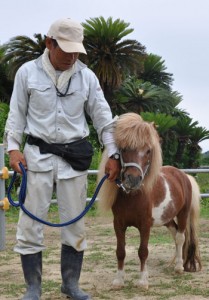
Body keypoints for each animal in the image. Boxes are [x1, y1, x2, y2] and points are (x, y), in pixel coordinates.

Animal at [98, 112, 201, 288]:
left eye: (148, 151)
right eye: (124, 148)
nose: (133, 179)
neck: (133, 196)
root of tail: (183, 175)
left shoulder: (145, 224)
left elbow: (143, 251)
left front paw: (142, 281)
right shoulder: (118, 223)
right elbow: (120, 251)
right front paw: (119, 280)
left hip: (183, 214)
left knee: (180, 237)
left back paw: (179, 267)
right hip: (167, 218)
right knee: (175, 235)